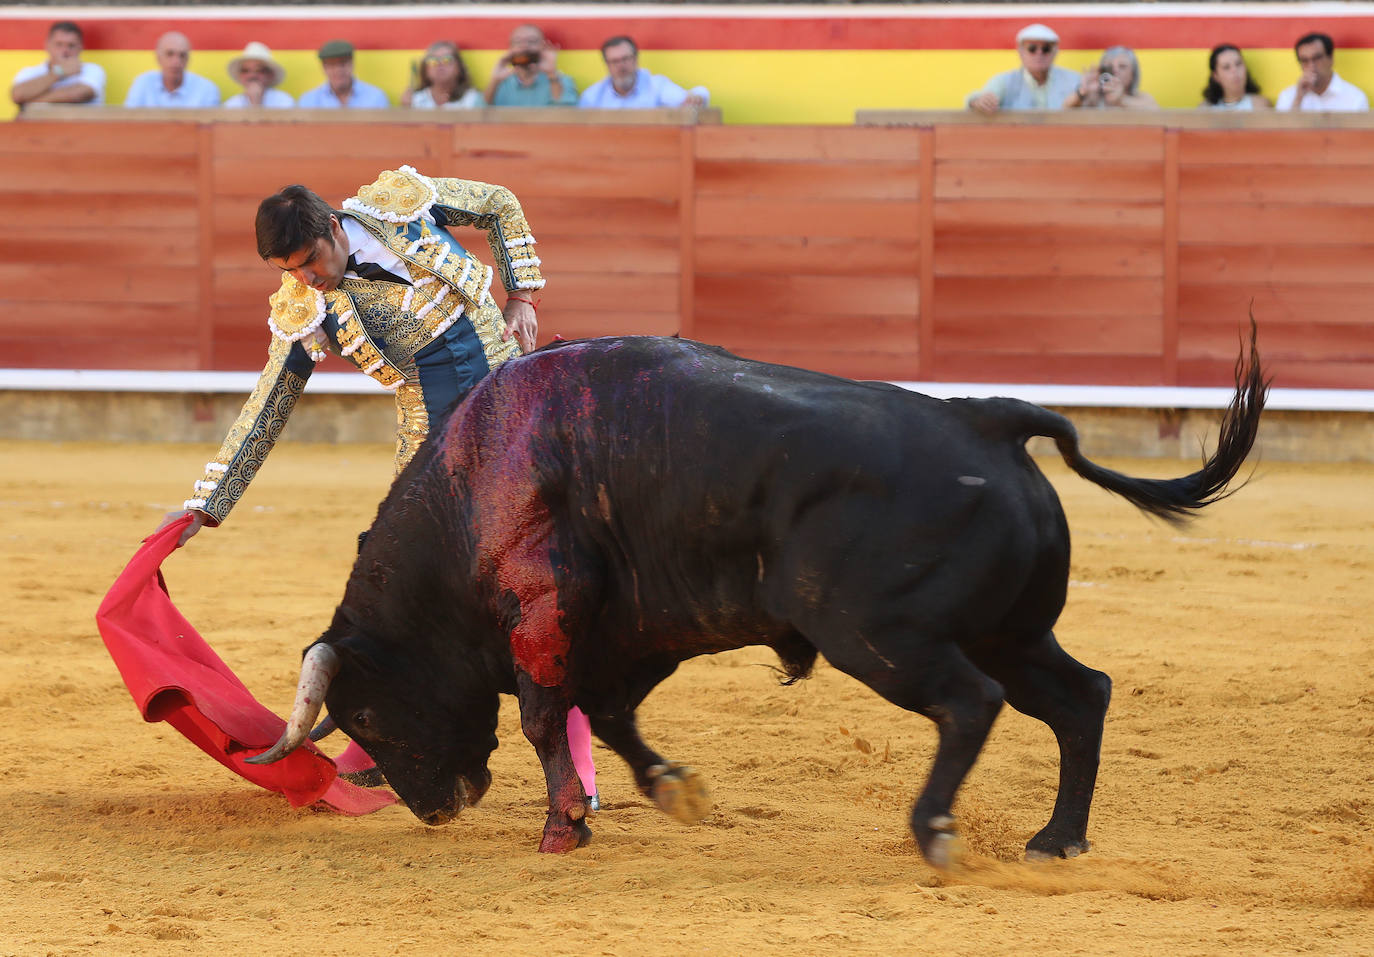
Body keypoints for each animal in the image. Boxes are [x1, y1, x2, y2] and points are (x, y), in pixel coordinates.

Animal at [247, 328, 1264, 867]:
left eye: (366, 713)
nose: (436, 808)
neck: (471, 487)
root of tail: (988, 420)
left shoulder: (546, 611)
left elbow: (545, 716)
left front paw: (562, 827)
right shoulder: (632, 632)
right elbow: (606, 714)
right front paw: (672, 791)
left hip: (879, 633)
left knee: (971, 702)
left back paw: (934, 830)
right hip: (1012, 631)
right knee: (1079, 695)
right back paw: (1057, 837)